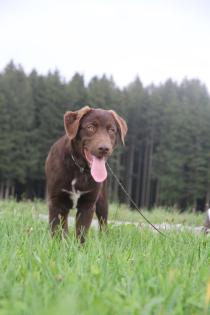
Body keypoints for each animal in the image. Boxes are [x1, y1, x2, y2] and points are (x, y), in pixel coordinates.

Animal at [45, 107, 127, 243]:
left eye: (111, 130)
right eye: (90, 127)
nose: (104, 148)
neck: (80, 169)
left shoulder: (88, 204)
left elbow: (81, 233)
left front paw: (78, 247)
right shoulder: (56, 201)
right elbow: (56, 231)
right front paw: (57, 246)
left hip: (102, 200)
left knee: (103, 222)